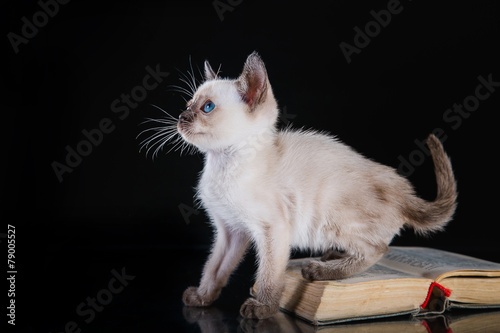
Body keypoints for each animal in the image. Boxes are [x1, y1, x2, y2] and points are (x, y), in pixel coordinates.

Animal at [179, 52, 458, 320]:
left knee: (379, 248)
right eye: (188, 104)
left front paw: (263, 309)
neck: (222, 164)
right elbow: (214, 268)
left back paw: (320, 270)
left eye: (207, 107)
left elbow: (269, 275)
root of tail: (402, 190)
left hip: (332, 216)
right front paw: (202, 298)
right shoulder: (230, 231)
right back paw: (333, 257)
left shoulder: (274, 229)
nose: (181, 116)